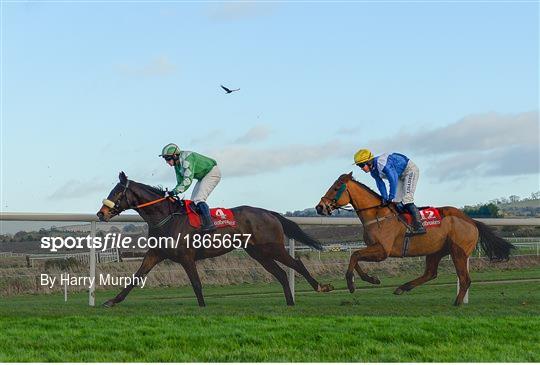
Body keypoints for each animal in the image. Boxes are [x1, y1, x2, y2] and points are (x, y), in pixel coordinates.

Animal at [98, 172, 334, 306]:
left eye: (117, 193)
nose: (101, 213)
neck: (166, 217)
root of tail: (269, 212)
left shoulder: (186, 257)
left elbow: (196, 284)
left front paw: (202, 308)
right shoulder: (155, 254)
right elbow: (135, 277)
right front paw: (112, 301)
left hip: (272, 248)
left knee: (297, 263)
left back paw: (320, 287)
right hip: (258, 253)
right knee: (282, 274)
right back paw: (290, 303)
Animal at [316, 172, 516, 302]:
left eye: (335, 188)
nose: (319, 207)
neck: (377, 215)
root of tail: (472, 221)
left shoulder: (382, 251)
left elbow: (354, 255)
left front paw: (351, 283)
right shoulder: (375, 248)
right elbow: (355, 257)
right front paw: (371, 279)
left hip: (458, 252)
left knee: (465, 279)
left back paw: (457, 303)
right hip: (436, 251)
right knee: (430, 273)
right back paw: (402, 288)